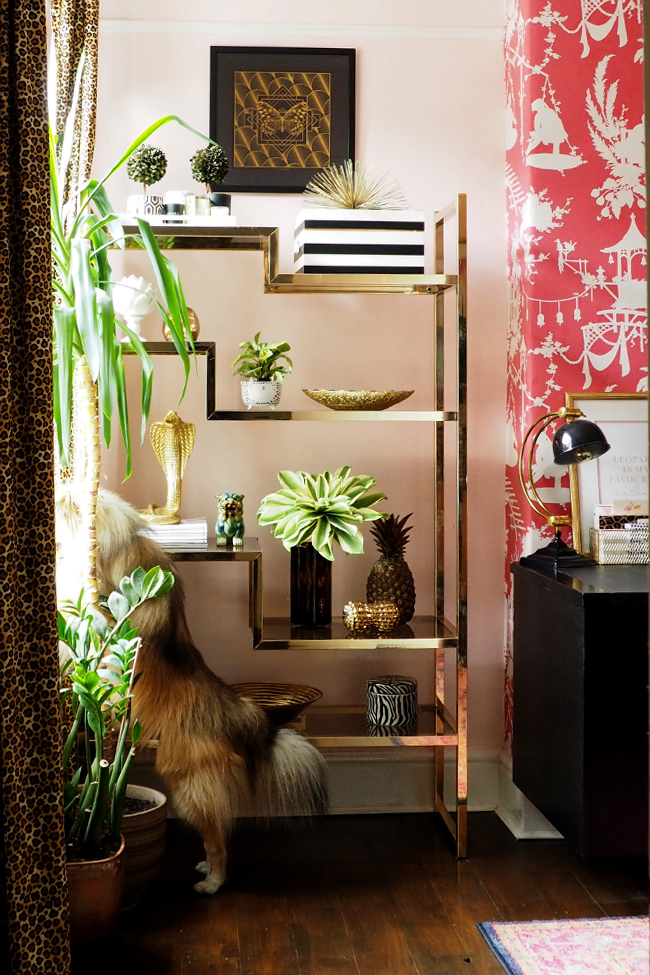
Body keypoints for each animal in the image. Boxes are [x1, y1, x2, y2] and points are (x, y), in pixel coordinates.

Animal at [55, 492, 326, 896]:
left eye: (67, 501)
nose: (62, 497)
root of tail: (235, 711)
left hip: (190, 786)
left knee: (218, 840)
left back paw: (212, 882)